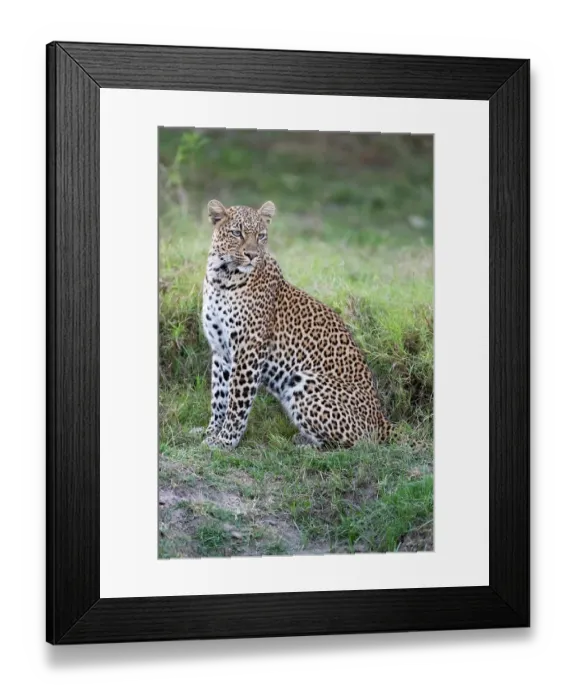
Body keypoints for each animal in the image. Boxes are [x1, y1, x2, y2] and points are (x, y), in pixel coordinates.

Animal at [198, 198, 396, 450]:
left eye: (261, 236)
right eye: (237, 233)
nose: (252, 255)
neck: (221, 278)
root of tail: (381, 418)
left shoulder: (248, 351)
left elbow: (237, 402)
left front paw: (225, 441)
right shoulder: (221, 350)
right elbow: (219, 396)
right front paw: (210, 432)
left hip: (304, 381)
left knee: (357, 443)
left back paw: (304, 444)